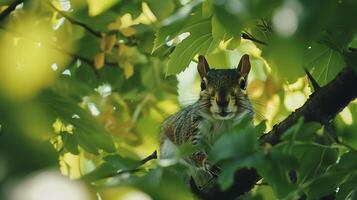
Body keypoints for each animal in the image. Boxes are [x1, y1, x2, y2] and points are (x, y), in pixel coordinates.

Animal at [159, 54, 253, 188]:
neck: (222, 121)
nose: (222, 101)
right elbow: (191, 150)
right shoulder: (193, 128)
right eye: (203, 84)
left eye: (243, 83)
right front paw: (208, 163)